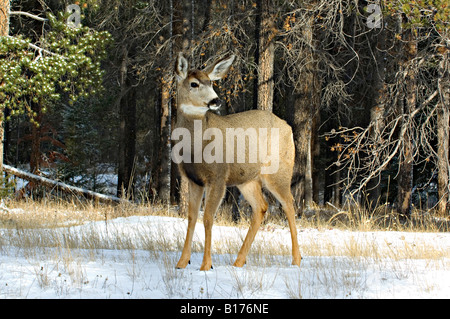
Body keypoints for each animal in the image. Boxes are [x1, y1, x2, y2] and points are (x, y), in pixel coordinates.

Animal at [172, 53, 302, 272]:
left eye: (211, 82)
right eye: (194, 83)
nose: (215, 100)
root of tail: (288, 126)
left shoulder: (218, 176)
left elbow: (208, 217)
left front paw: (206, 265)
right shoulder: (193, 179)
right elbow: (191, 217)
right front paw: (182, 263)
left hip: (278, 171)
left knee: (289, 204)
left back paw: (296, 259)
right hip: (247, 180)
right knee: (261, 206)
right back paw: (239, 261)